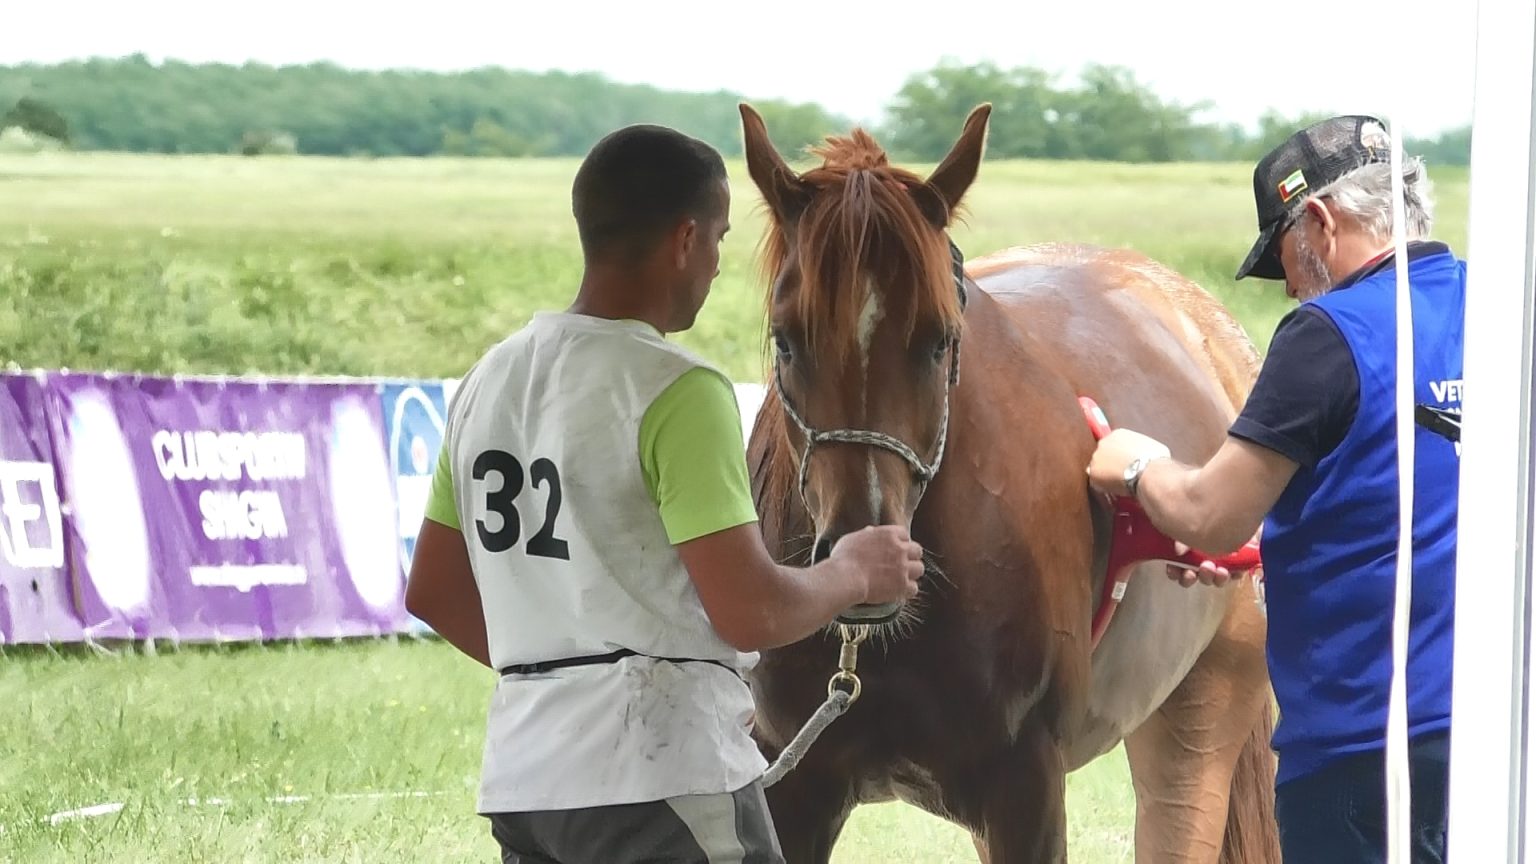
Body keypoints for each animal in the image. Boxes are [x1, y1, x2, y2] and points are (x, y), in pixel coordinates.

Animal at [736, 102, 1281, 863]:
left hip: (1200, 719)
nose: (866, 559)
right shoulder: (794, 782)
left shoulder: (1025, 788)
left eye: (940, 338)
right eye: (786, 341)